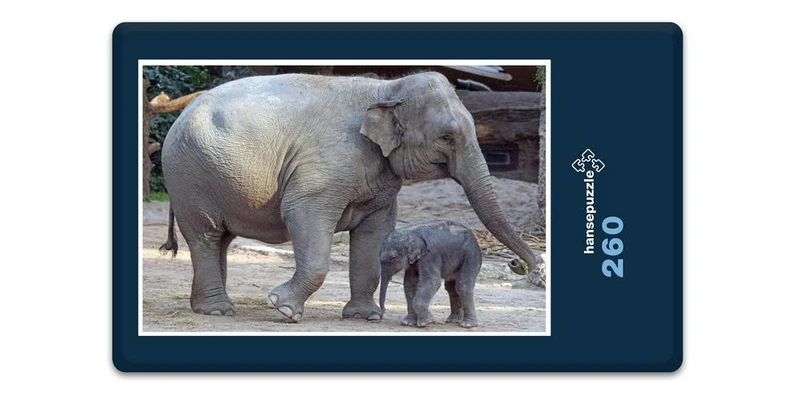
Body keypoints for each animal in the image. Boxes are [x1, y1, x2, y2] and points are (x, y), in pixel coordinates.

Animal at [159, 71, 537, 323]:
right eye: (446, 137)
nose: (521, 266)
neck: (387, 88)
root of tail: (180, 114)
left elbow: (375, 233)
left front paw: (363, 317)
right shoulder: (323, 170)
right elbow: (302, 215)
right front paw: (283, 307)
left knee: (221, 240)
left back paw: (209, 307)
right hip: (190, 177)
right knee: (206, 236)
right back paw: (217, 310)